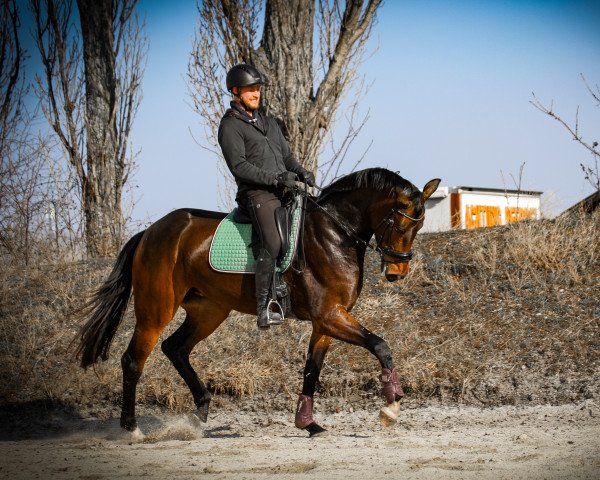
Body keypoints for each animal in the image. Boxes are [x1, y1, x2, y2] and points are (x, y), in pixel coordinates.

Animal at [75, 168, 440, 436]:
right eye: (400, 222)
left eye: (420, 224)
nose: (396, 272)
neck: (335, 234)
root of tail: (150, 233)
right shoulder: (330, 316)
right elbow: (381, 345)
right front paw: (391, 406)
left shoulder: (327, 320)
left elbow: (312, 369)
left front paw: (308, 423)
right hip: (156, 310)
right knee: (133, 360)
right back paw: (131, 428)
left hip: (209, 310)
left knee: (175, 348)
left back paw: (201, 409)